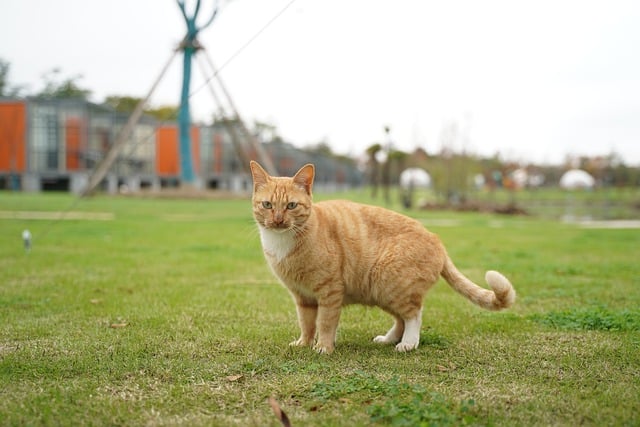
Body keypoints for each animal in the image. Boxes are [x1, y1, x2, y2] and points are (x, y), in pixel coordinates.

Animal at [250, 160, 516, 354]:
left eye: (291, 206)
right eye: (267, 205)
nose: (277, 221)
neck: (283, 242)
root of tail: (436, 238)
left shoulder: (329, 292)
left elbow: (325, 323)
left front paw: (323, 347)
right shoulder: (302, 297)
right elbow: (306, 323)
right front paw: (304, 344)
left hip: (390, 283)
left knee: (414, 315)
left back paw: (408, 343)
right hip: (381, 290)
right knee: (401, 319)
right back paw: (388, 339)